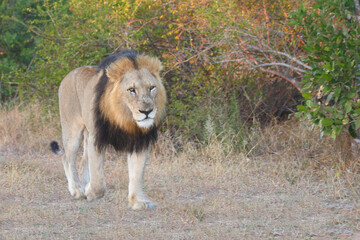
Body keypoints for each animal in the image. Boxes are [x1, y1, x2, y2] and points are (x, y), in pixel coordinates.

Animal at [50, 50, 167, 210]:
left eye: (152, 88)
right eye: (131, 90)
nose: (147, 111)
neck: (124, 118)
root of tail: (68, 75)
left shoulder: (139, 141)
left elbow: (137, 174)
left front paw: (137, 201)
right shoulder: (96, 138)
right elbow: (98, 180)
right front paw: (91, 191)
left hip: (86, 133)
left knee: (82, 162)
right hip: (72, 130)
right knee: (67, 159)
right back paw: (77, 190)